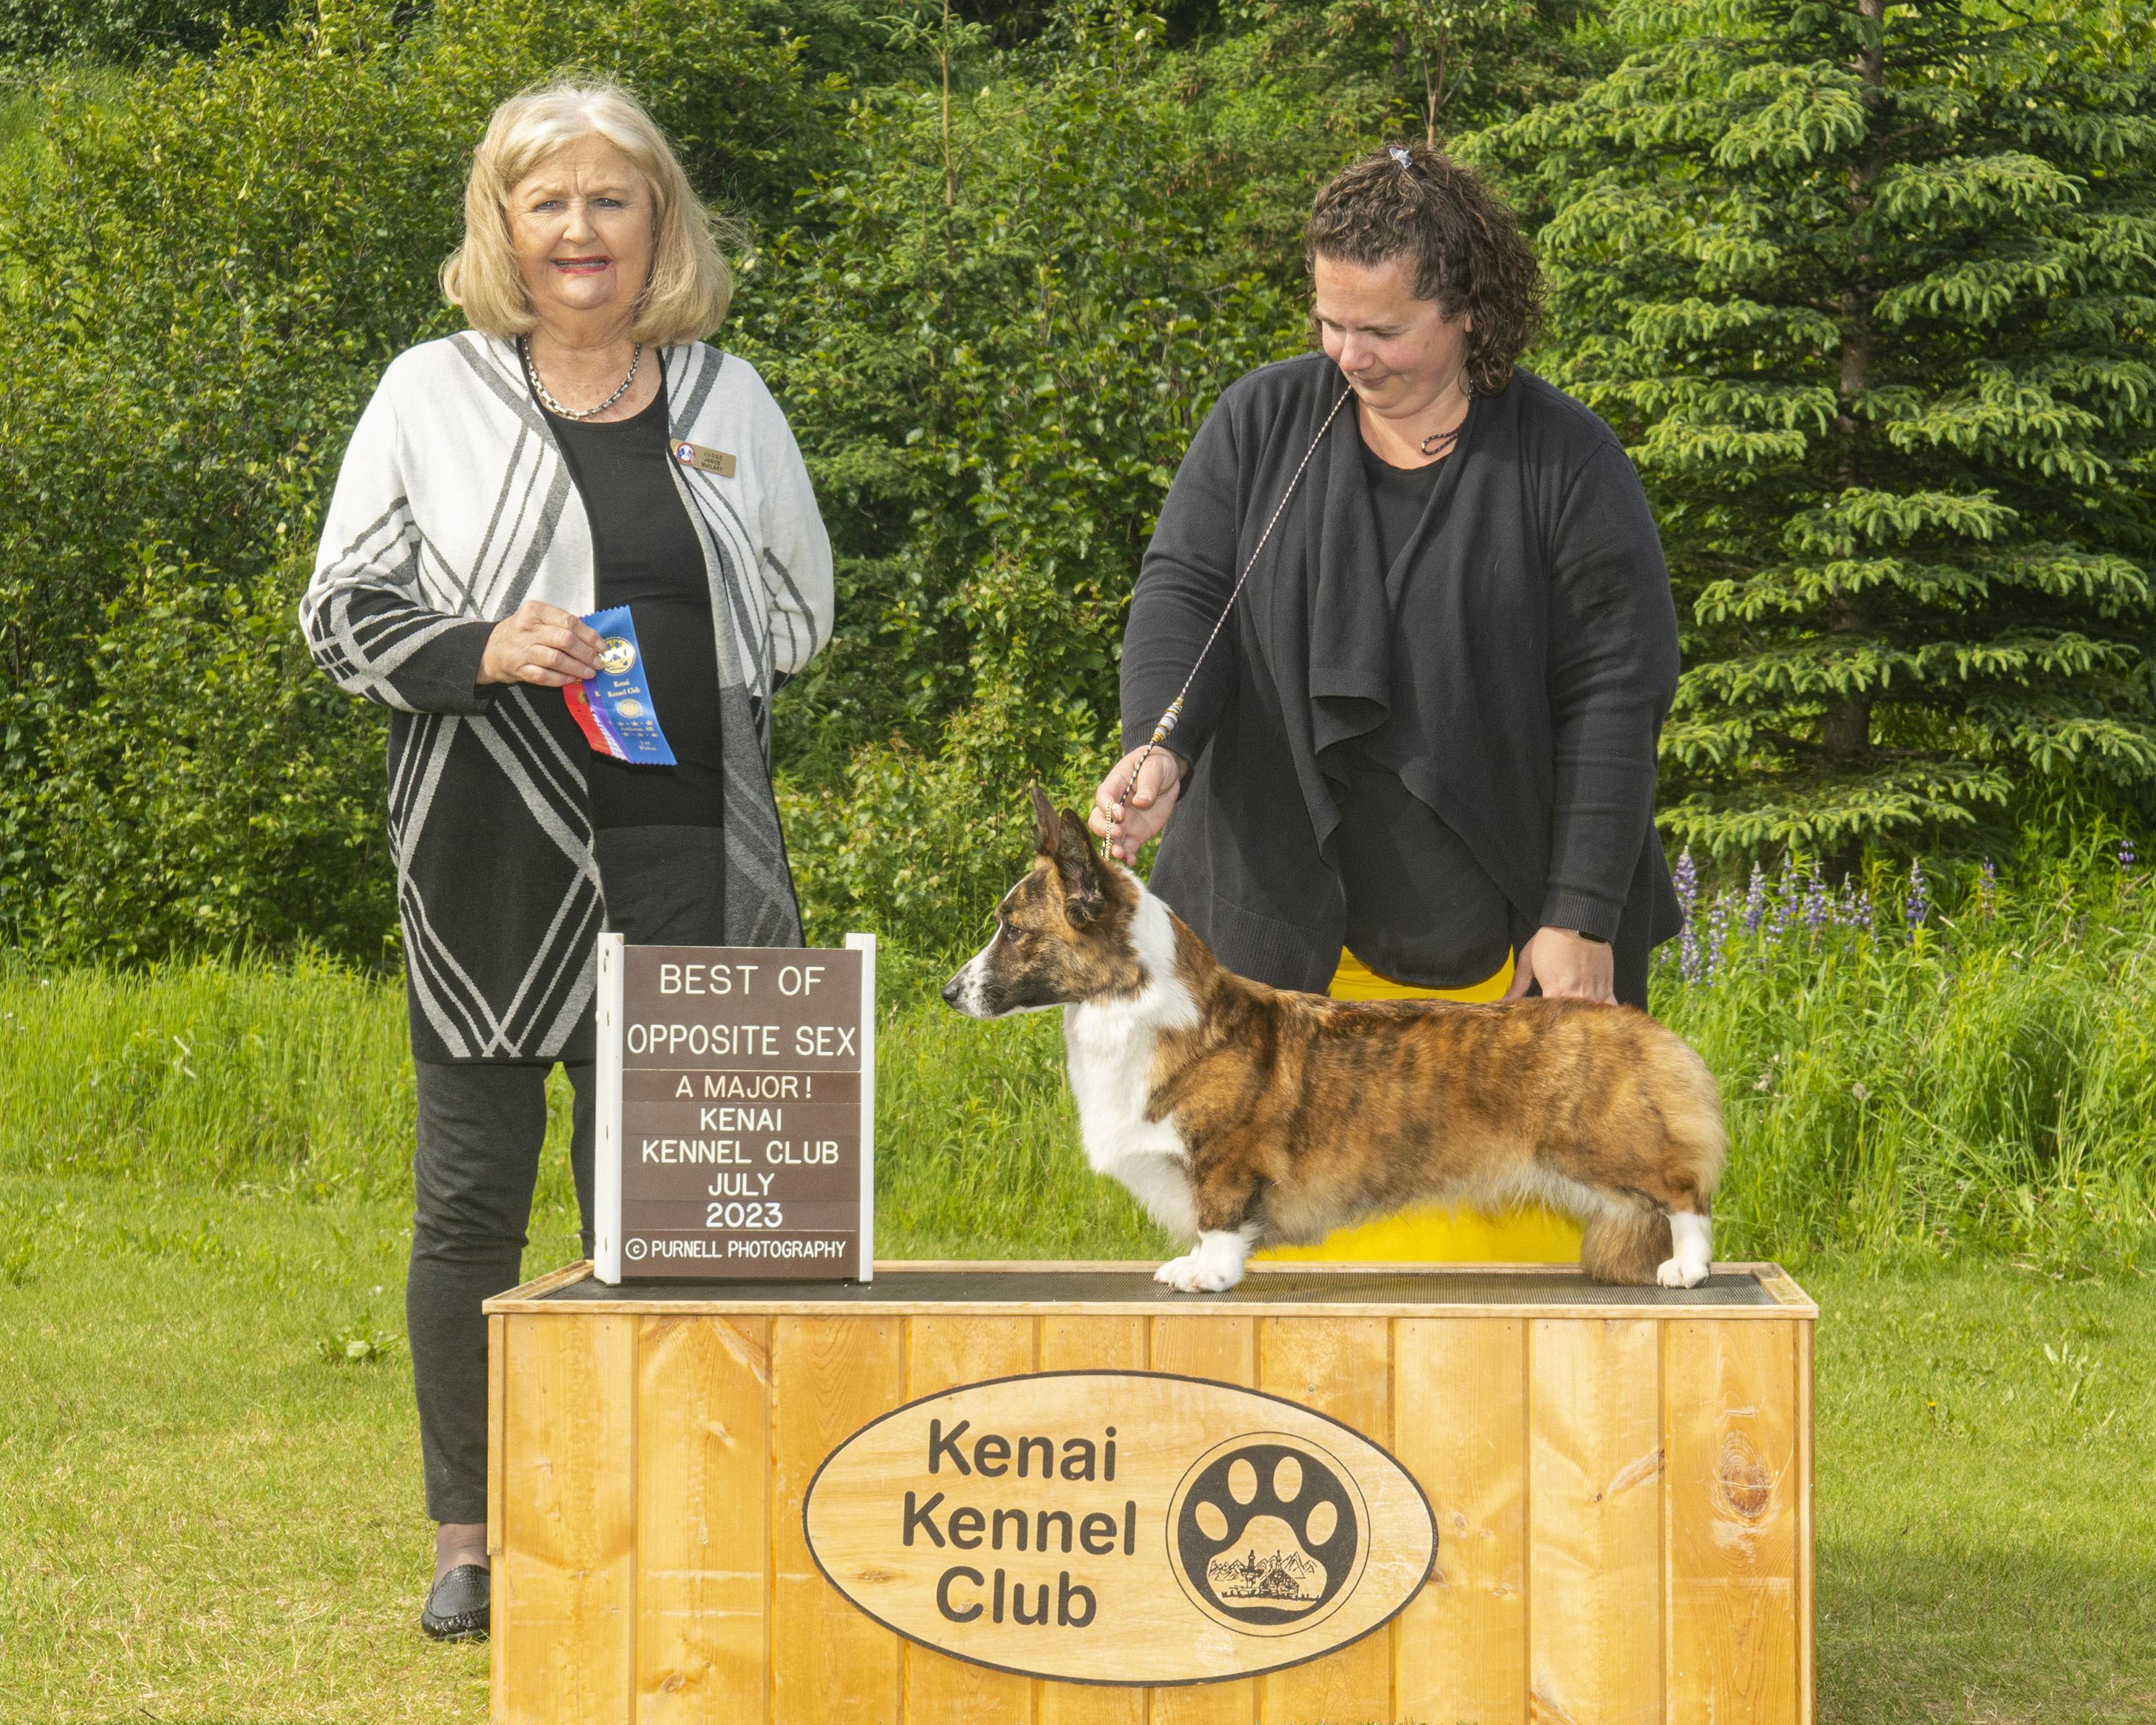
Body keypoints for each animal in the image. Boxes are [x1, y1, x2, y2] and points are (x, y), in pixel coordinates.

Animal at [942, 788, 1726, 1293]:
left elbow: (1218, 1221)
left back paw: (1687, 1268)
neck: (1129, 1003)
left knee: (1685, 1193)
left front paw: (1208, 1274)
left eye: (1013, 930)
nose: (948, 994)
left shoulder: (1224, 1163)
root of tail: (1633, 1023)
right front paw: (1190, 1264)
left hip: (1613, 1145)